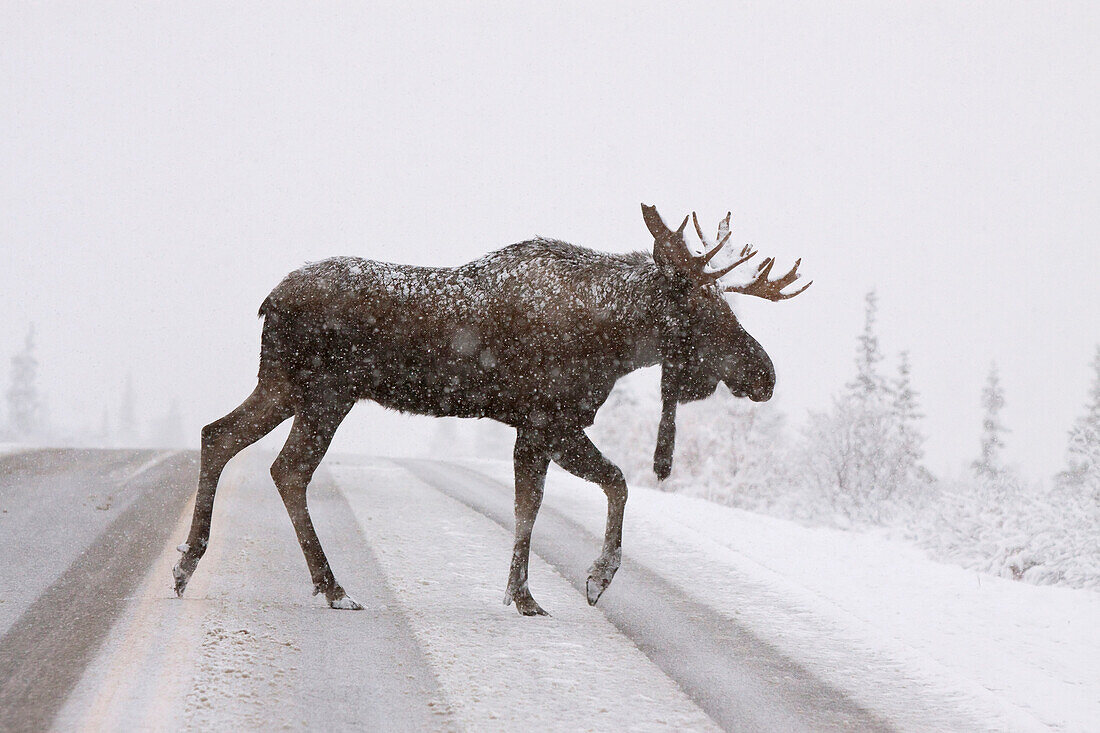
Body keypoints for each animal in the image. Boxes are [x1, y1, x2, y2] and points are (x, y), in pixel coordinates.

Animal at [171, 202, 809, 611]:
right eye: (705, 311)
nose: (766, 374)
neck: (615, 342)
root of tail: (268, 301)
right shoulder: (547, 419)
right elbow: (575, 494)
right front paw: (565, 586)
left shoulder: (548, 425)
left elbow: (574, 493)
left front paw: (550, 588)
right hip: (325, 393)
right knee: (288, 468)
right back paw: (330, 587)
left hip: (285, 386)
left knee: (220, 436)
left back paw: (189, 566)